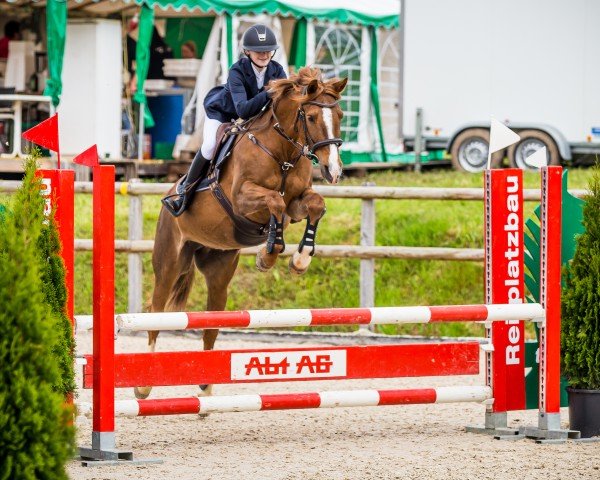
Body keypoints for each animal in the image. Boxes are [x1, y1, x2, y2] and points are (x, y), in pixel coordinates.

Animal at [133, 66, 344, 398]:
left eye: (341, 115)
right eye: (310, 117)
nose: (333, 172)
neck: (282, 153)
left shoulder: (297, 204)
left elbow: (314, 205)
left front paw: (300, 259)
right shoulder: (243, 199)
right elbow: (274, 202)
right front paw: (268, 255)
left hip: (219, 270)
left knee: (211, 325)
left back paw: (206, 389)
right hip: (169, 263)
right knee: (156, 312)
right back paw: (143, 386)